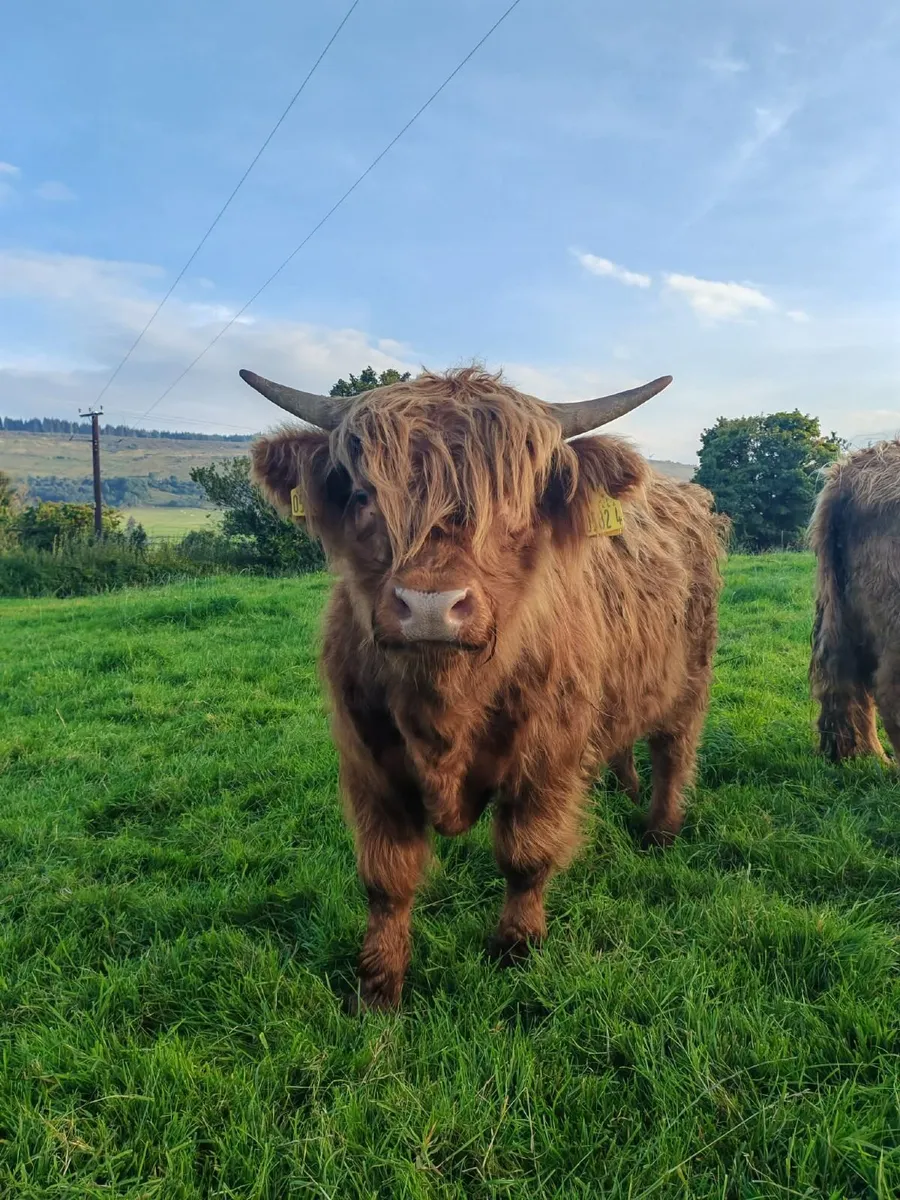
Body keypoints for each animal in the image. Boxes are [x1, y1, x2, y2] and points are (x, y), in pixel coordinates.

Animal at [243, 366, 727, 1010]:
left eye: (513, 502)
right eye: (365, 495)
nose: (430, 606)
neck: (447, 703)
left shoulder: (547, 758)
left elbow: (526, 855)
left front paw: (516, 949)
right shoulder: (369, 763)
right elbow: (385, 877)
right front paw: (378, 985)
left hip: (689, 680)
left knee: (674, 752)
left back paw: (659, 833)